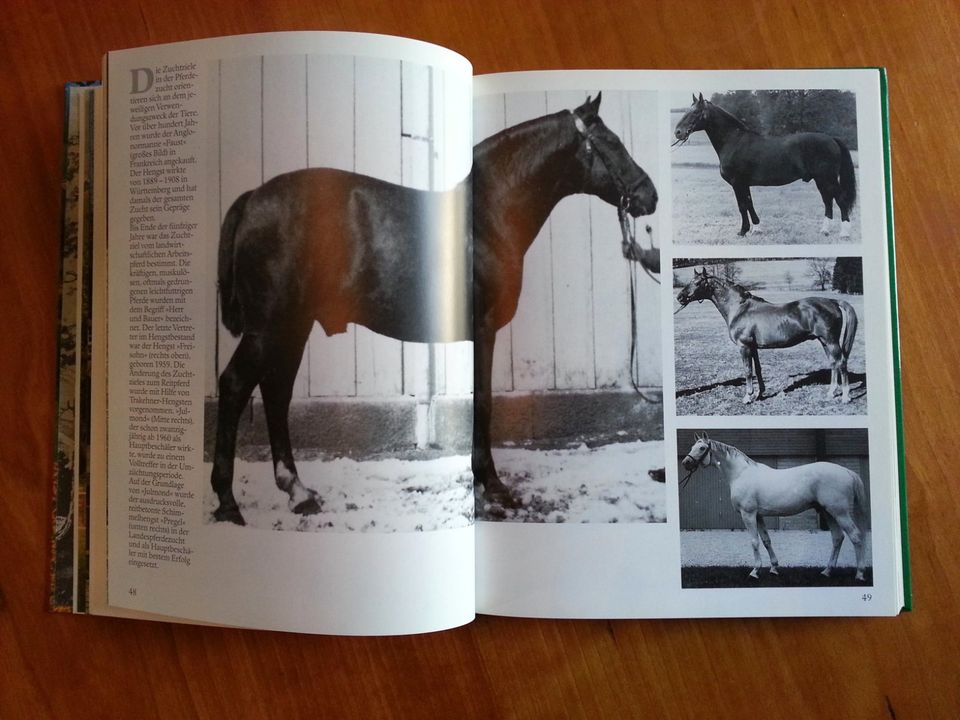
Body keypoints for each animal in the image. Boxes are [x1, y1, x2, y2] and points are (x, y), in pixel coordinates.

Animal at [213, 94, 656, 524]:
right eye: (613, 142)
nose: (649, 195)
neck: (486, 215)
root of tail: (252, 199)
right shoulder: (484, 329)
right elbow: (484, 403)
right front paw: (493, 485)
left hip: (293, 326)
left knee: (276, 393)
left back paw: (298, 492)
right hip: (270, 327)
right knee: (235, 386)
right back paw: (228, 502)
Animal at [672, 91, 860, 239]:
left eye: (696, 112)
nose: (678, 132)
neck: (734, 140)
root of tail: (831, 138)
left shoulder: (737, 183)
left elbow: (742, 206)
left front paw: (743, 231)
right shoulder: (744, 184)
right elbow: (749, 204)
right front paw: (756, 229)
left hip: (828, 179)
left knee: (840, 200)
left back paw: (844, 233)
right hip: (821, 180)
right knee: (828, 201)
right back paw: (824, 231)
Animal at [680, 270, 860, 404]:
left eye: (697, 283)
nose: (680, 297)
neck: (739, 309)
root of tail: (832, 301)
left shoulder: (744, 347)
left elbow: (748, 371)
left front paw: (747, 397)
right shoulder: (753, 347)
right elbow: (758, 370)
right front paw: (760, 394)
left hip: (831, 341)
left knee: (841, 362)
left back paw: (845, 396)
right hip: (824, 341)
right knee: (834, 363)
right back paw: (831, 393)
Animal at [684, 434, 872, 580]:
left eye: (701, 448)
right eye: (693, 446)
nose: (686, 463)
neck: (741, 474)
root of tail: (847, 472)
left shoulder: (748, 514)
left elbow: (754, 542)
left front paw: (755, 571)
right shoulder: (758, 515)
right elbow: (766, 540)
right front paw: (774, 568)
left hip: (840, 513)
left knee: (855, 536)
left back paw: (859, 573)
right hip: (828, 512)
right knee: (837, 538)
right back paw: (827, 571)